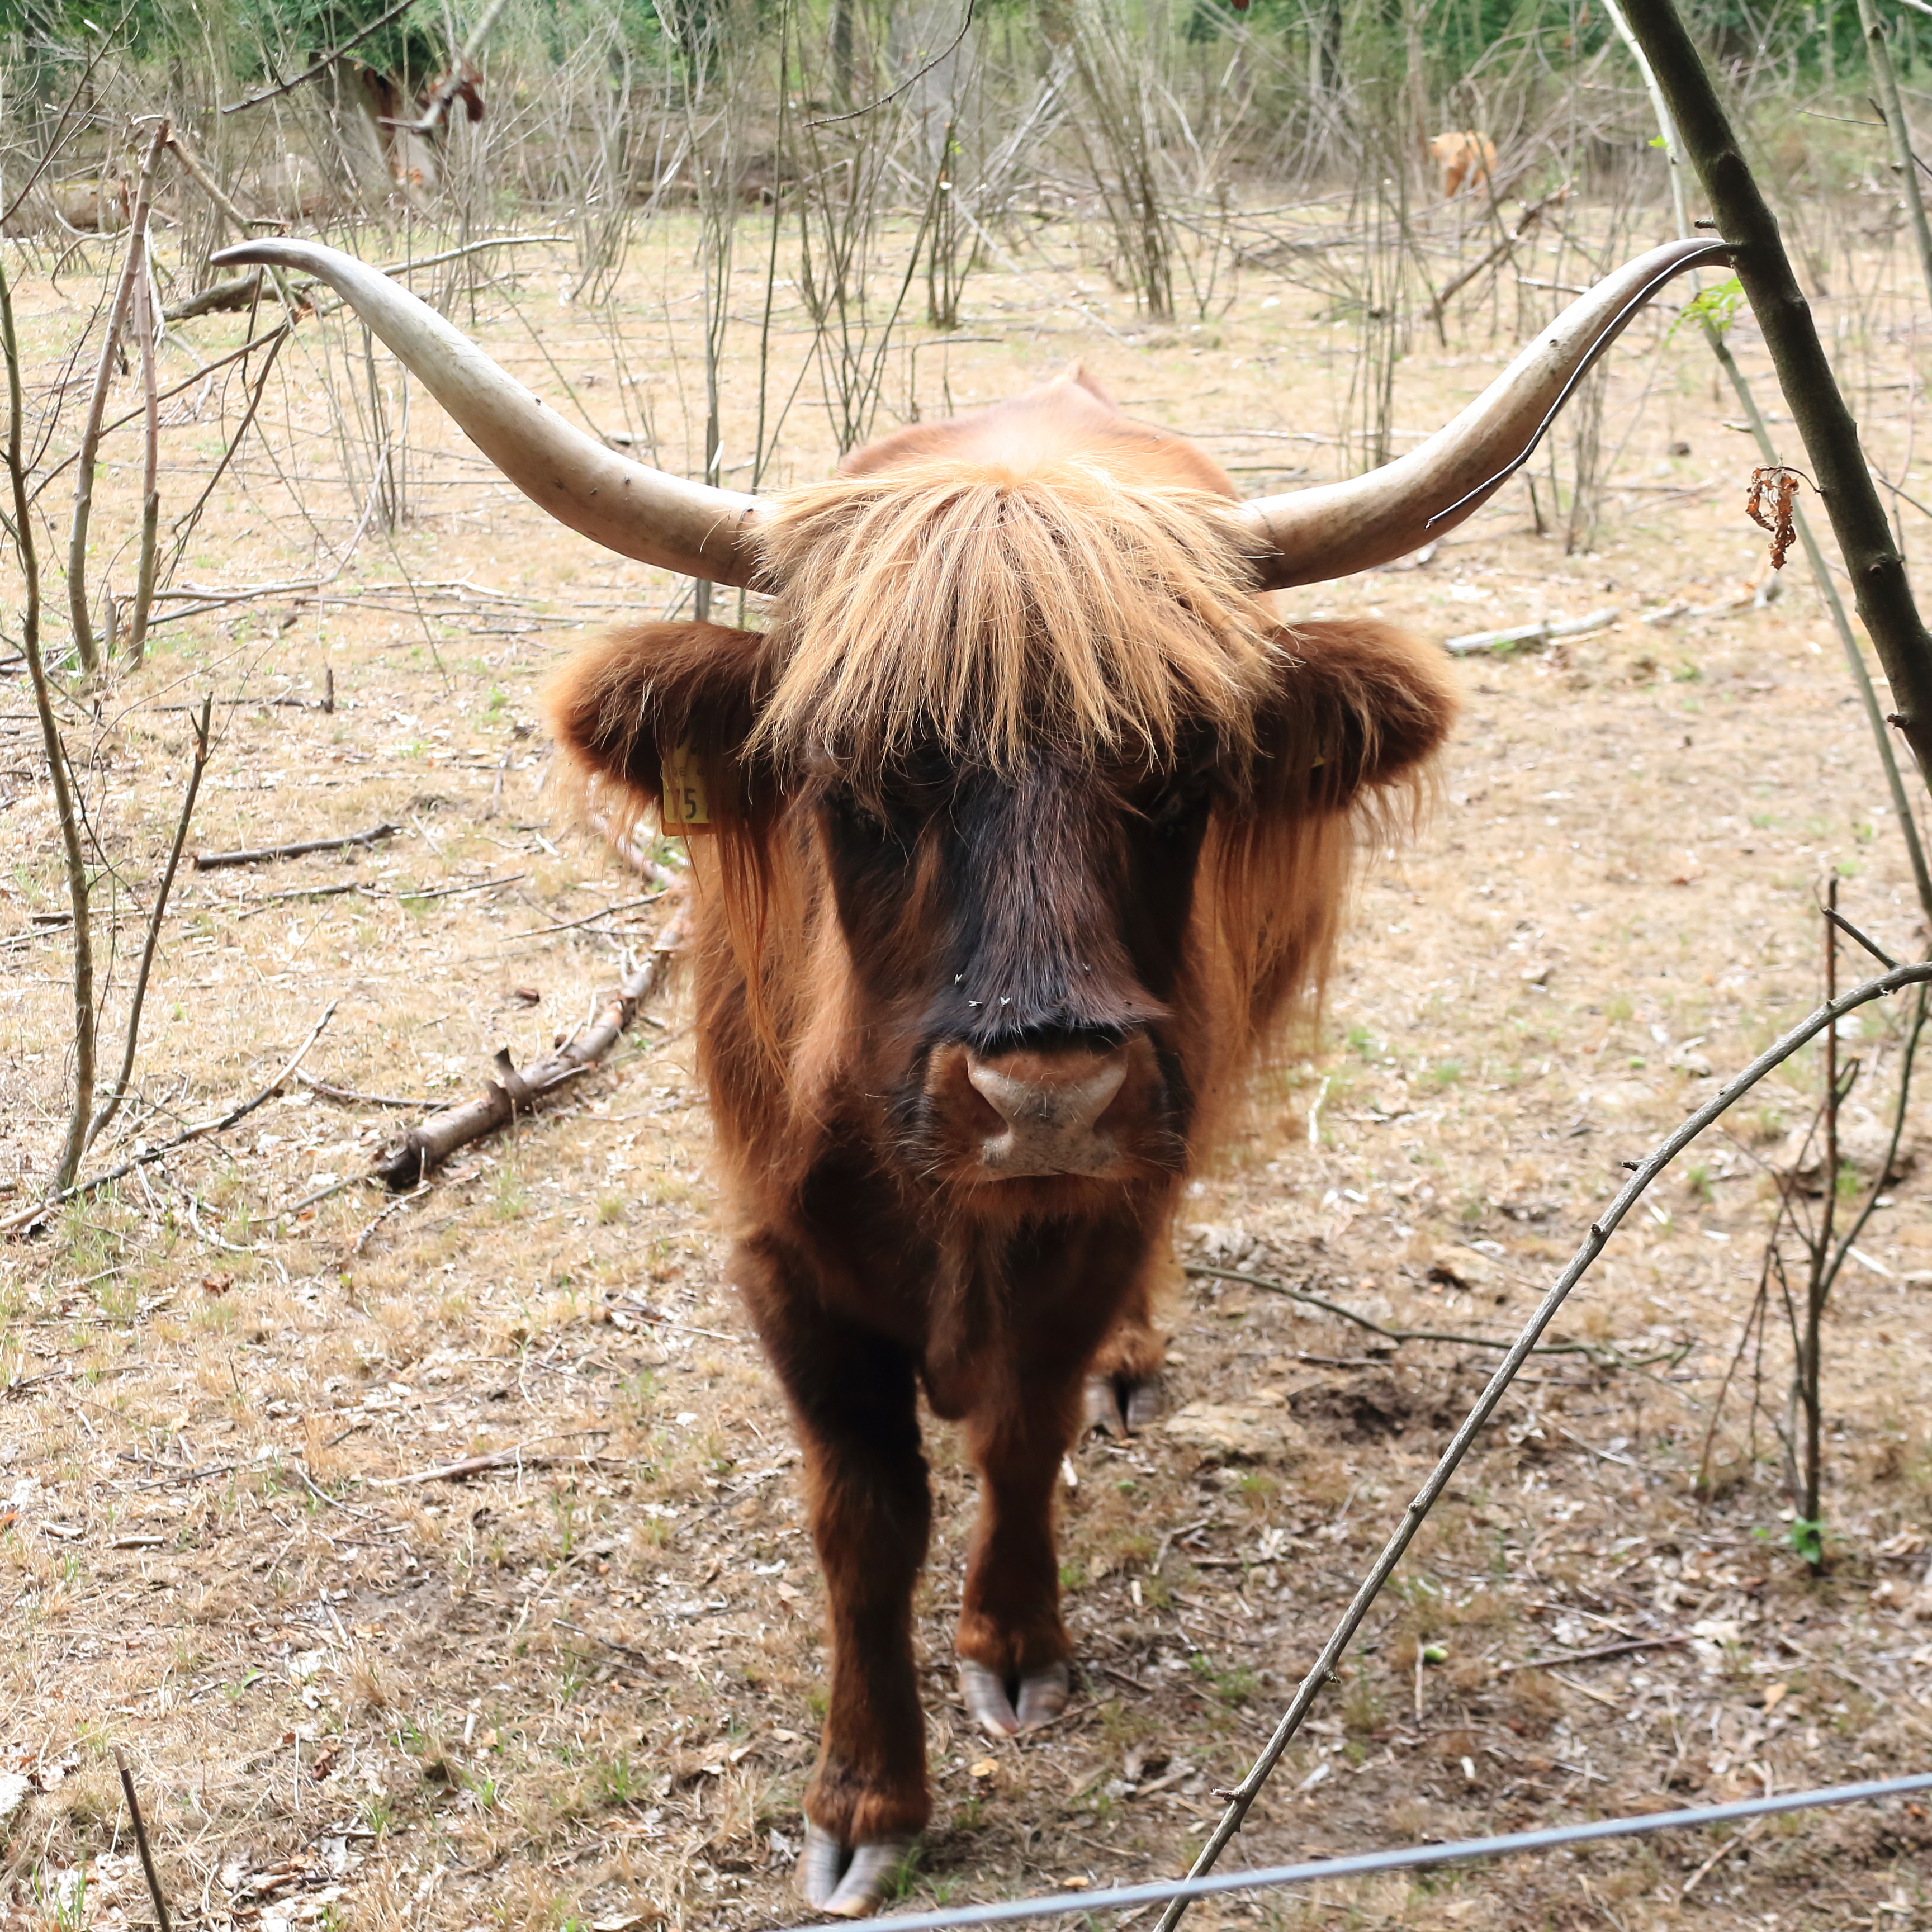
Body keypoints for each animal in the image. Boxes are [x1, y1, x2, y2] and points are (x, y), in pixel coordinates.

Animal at [214, 232, 1727, 1918]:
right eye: (862, 772)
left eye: (1179, 767)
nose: (1047, 1091)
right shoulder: (782, 1251)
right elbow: (867, 1515)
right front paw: (866, 1795)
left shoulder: (1102, 1212)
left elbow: (1020, 1425)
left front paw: (1013, 1639)